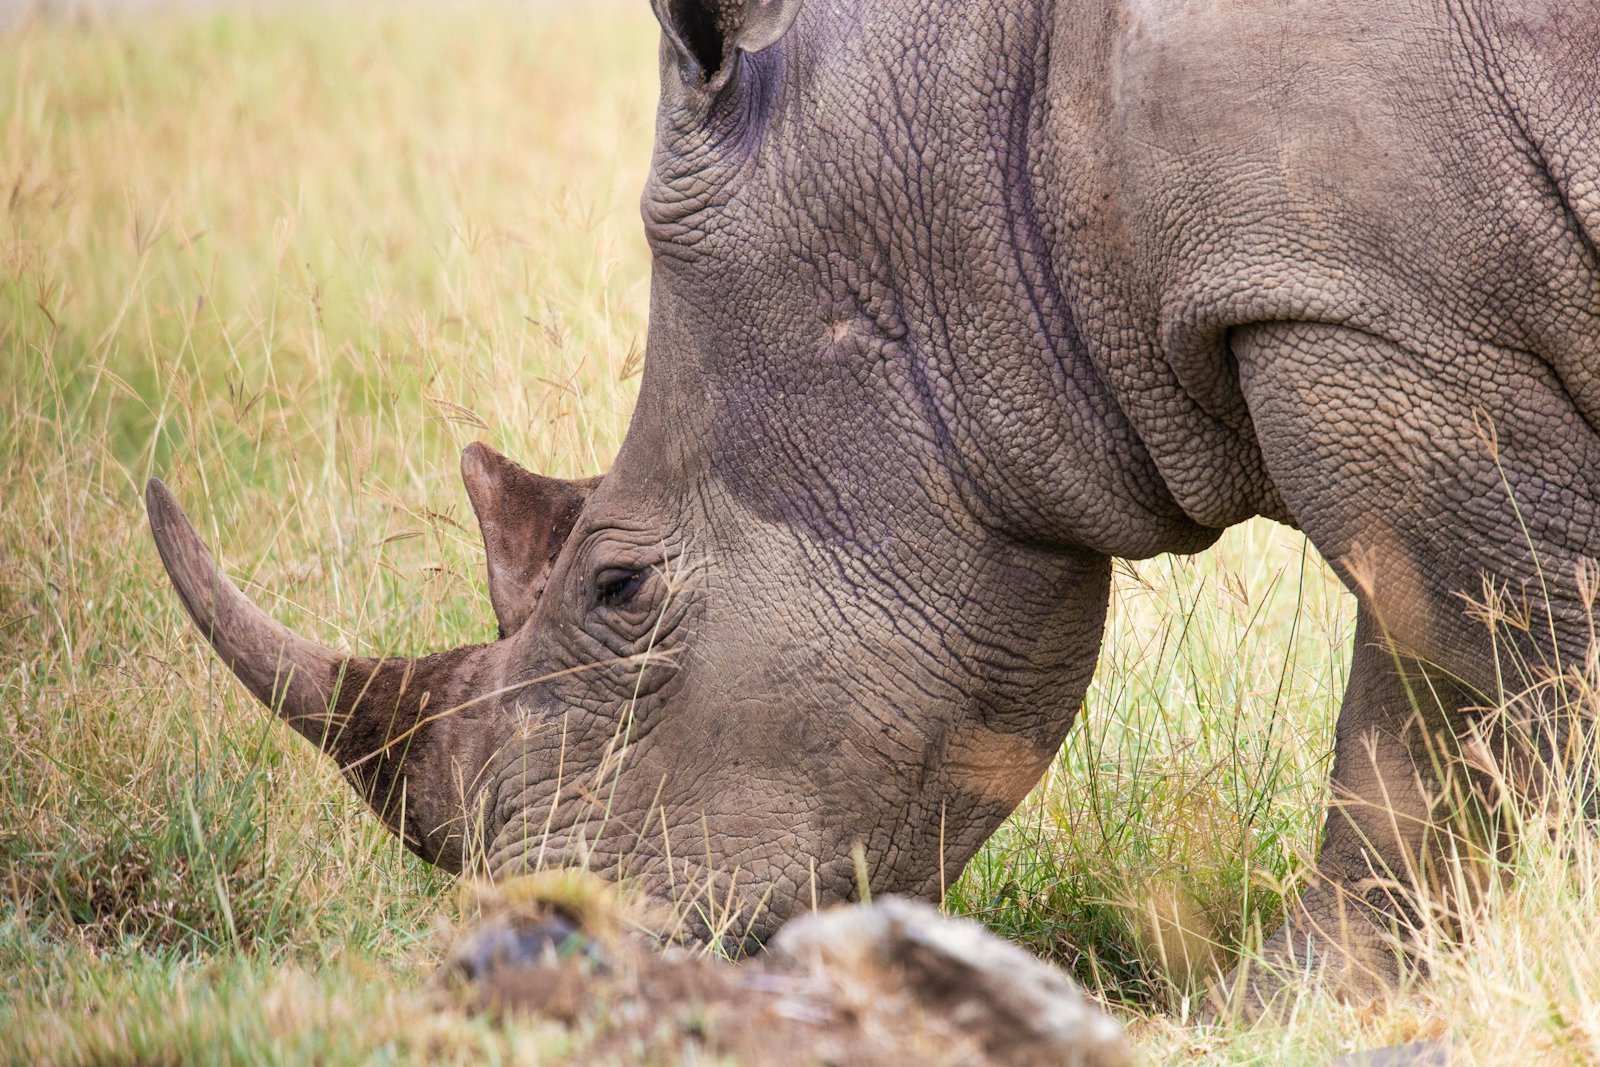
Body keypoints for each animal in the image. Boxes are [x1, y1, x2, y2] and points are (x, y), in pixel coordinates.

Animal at [147, 0, 1600, 1011]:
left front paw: (1285, 1001)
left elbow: (1464, 686)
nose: (532, 939)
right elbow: (1440, 709)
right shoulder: (1370, 308)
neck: (981, 152)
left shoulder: (1371, 312)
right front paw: (1317, 999)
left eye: (620, 586)